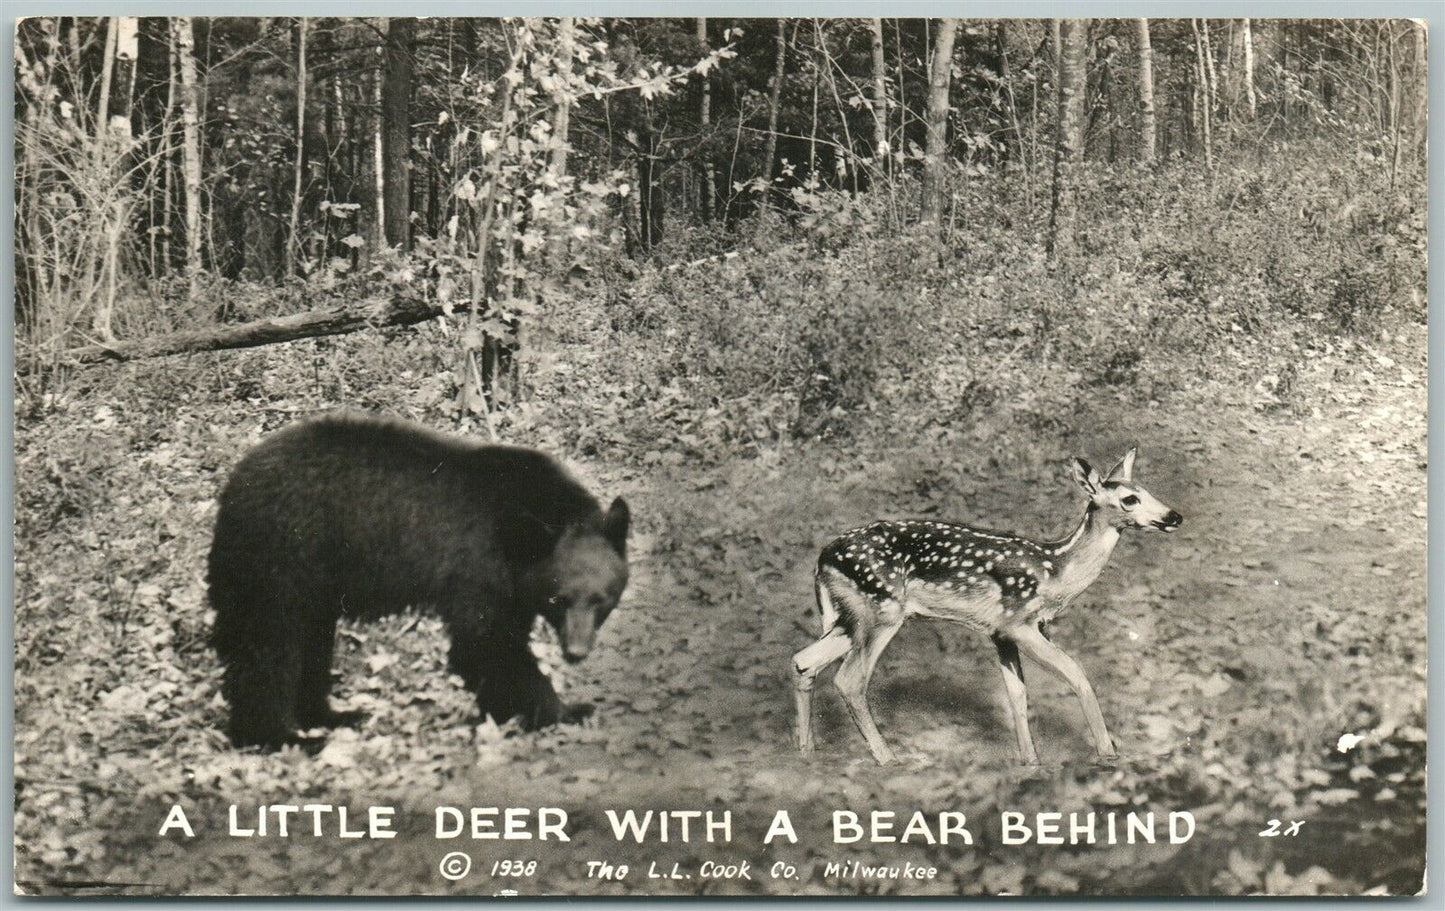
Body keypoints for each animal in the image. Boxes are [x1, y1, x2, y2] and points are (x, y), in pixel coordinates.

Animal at [208, 413, 627, 751]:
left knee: (312, 641)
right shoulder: (479, 561)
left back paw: (333, 715)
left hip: (314, 578)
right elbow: (486, 642)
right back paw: (278, 737)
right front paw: (566, 710)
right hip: (280, 554)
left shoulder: (515, 580)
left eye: (601, 599)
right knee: (269, 645)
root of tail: (233, 486)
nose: (576, 652)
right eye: (559, 599)